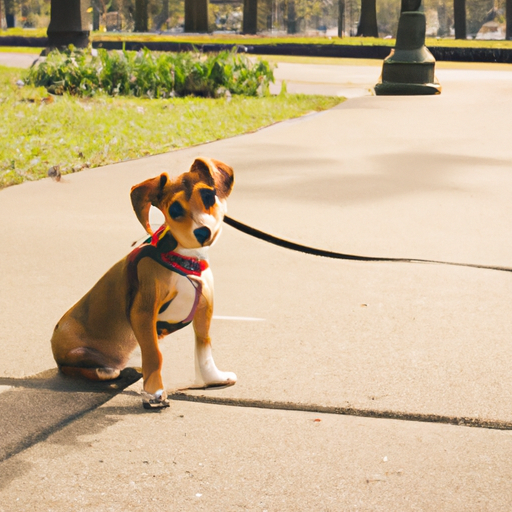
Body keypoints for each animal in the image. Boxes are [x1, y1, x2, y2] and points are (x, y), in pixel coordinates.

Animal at [50, 158, 238, 410]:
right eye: (174, 210)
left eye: (209, 196)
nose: (202, 231)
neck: (182, 258)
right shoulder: (143, 313)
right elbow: (154, 355)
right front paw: (155, 394)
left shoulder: (203, 309)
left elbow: (204, 347)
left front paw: (212, 378)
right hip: (79, 354)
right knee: (86, 370)